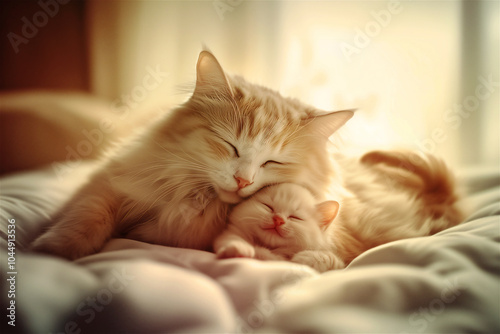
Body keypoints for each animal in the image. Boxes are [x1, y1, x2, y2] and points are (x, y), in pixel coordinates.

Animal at [211, 183, 344, 268]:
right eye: (268, 206)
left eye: (295, 217)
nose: (278, 219)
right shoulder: (232, 232)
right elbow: (231, 238)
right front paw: (239, 249)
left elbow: (335, 263)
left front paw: (307, 258)